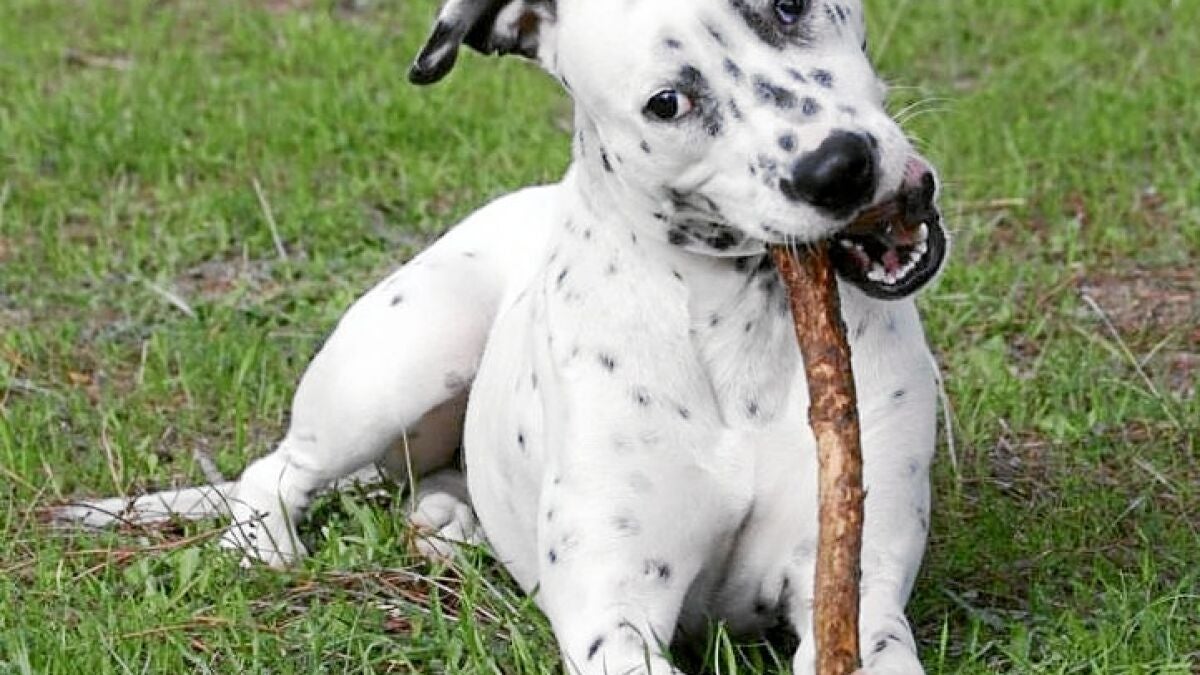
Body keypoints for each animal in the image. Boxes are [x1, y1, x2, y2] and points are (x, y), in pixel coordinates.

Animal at [57, 0, 950, 672]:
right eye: (667, 102)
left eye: (787, 4)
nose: (839, 167)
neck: (740, 323)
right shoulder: (613, 612)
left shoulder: (858, 588)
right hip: (409, 350)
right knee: (276, 469)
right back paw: (265, 546)